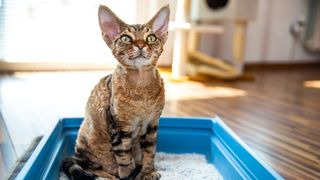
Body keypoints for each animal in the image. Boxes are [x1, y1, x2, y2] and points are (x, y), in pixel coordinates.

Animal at [61, 3, 169, 180]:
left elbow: (149, 153)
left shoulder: (152, 125)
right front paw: (128, 176)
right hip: (90, 147)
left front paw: (148, 172)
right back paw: (108, 175)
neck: (142, 91)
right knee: (91, 166)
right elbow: (125, 160)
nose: (141, 45)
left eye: (151, 38)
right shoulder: (119, 129)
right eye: (126, 38)